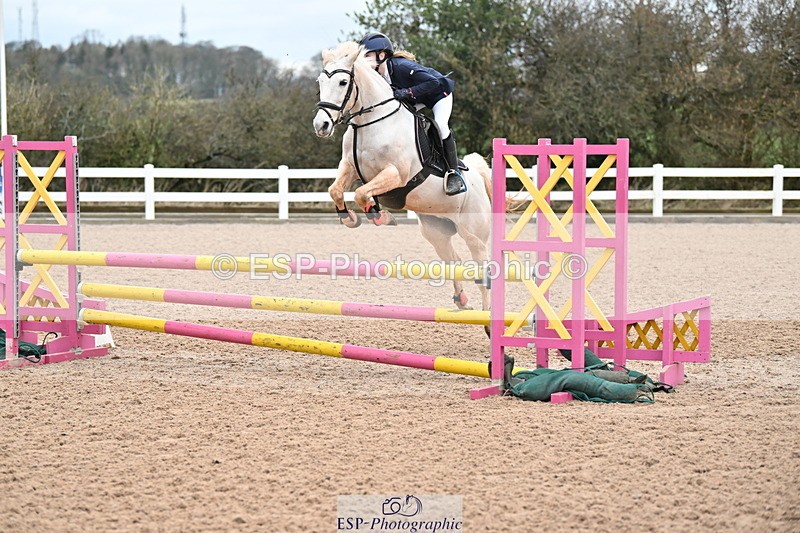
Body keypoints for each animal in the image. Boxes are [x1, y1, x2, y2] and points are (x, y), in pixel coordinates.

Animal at [312, 41, 493, 312]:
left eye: (343, 82)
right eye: (321, 81)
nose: (321, 125)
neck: (369, 122)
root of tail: (477, 180)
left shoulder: (397, 174)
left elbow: (361, 192)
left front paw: (380, 216)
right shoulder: (350, 166)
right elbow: (336, 190)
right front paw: (350, 218)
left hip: (474, 234)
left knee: (483, 270)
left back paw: (487, 313)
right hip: (436, 231)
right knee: (453, 260)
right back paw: (461, 301)